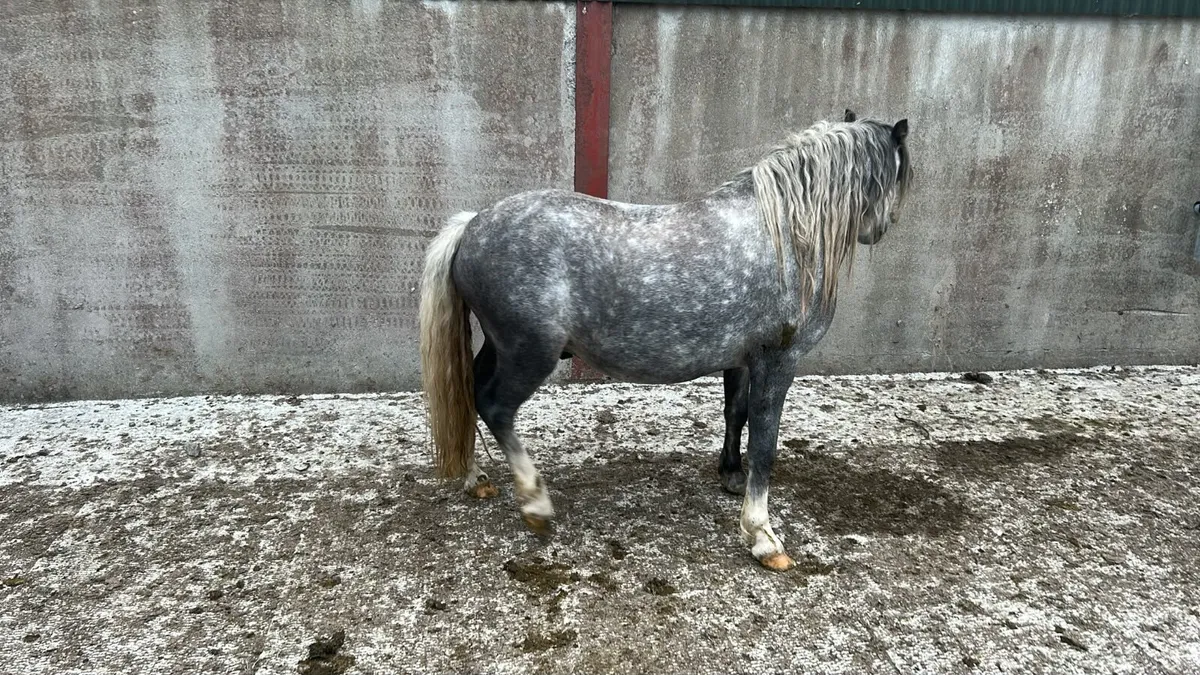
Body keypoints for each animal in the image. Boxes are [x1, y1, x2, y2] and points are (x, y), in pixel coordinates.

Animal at [419, 110, 912, 571]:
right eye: (898, 174)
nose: (884, 226)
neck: (786, 234)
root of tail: (473, 225)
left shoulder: (743, 360)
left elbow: (736, 413)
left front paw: (730, 476)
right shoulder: (778, 361)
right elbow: (765, 443)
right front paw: (761, 535)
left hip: (500, 348)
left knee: (469, 392)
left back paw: (476, 477)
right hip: (529, 354)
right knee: (496, 407)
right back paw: (535, 504)